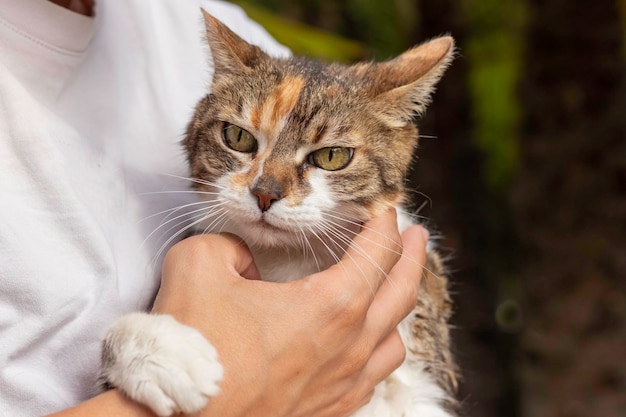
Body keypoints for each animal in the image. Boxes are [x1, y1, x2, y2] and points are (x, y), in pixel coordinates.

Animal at [100, 9, 456, 416]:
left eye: (331, 156)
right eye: (237, 137)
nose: (265, 193)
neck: (285, 264)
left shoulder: (424, 384)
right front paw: (160, 349)